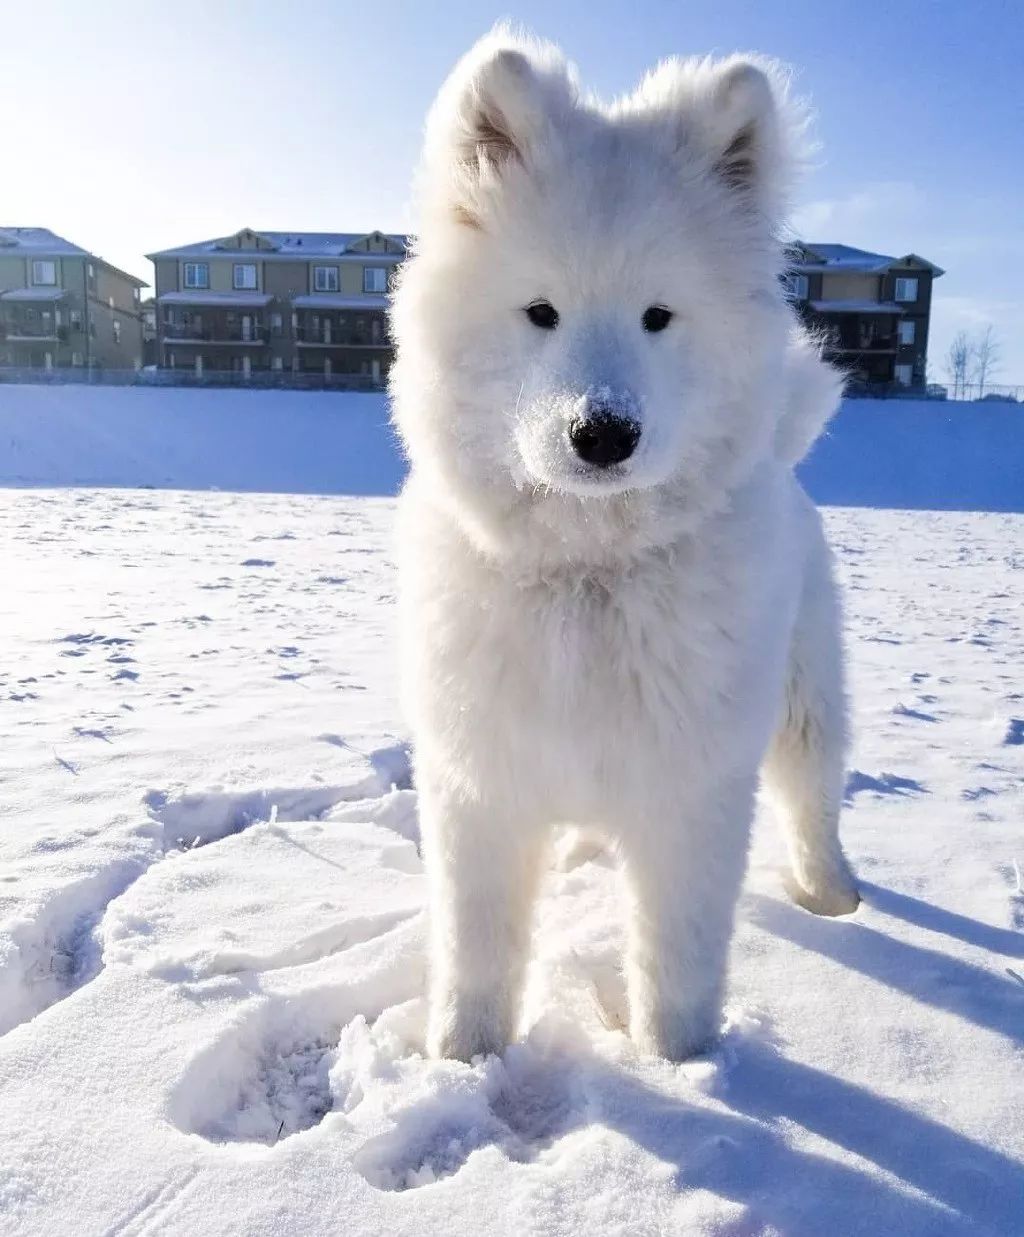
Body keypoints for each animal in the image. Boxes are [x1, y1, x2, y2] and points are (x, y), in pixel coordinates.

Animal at [388, 31, 860, 1063]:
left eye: (658, 315)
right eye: (541, 312)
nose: (602, 433)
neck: (586, 574)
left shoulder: (692, 797)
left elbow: (675, 960)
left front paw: (685, 1068)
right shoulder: (480, 787)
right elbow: (478, 950)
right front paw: (464, 1059)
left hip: (805, 697)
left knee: (813, 793)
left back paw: (831, 892)